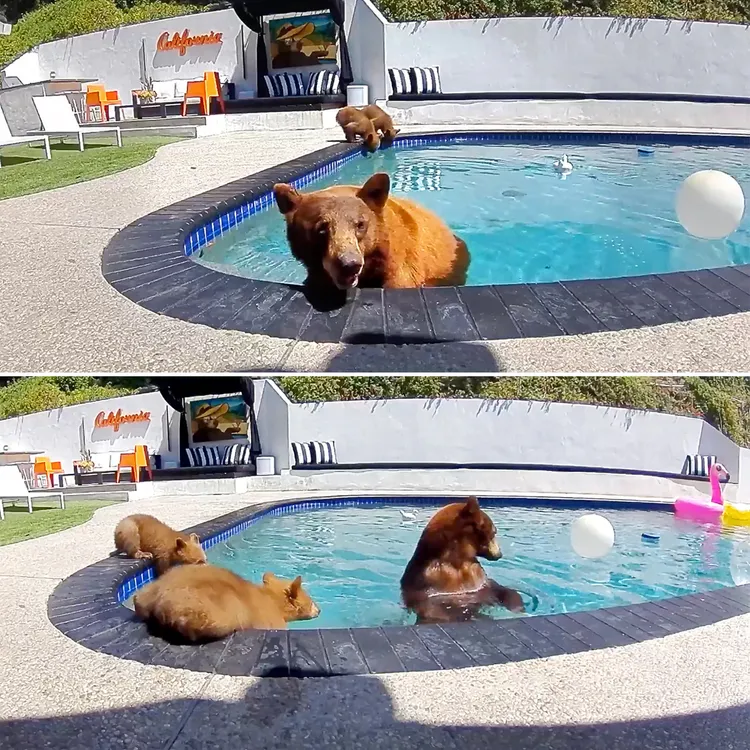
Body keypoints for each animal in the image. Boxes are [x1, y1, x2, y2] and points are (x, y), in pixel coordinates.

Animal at [400, 496, 525, 624]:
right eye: (494, 532)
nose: (500, 554)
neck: (456, 560)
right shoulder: (430, 583)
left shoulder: (477, 577)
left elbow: (497, 588)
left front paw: (517, 605)